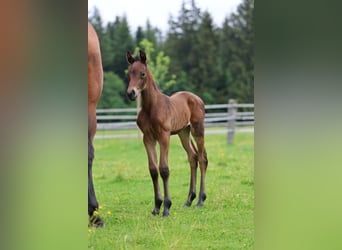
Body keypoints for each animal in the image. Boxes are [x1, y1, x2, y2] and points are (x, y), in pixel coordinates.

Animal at [125, 49, 207, 216]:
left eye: (142, 73)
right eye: (129, 74)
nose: (131, 93)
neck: (151, 107)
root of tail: (197, 98)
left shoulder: (164, 136)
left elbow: (164, 169)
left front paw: (167, 207)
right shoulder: (148, 138)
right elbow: (153, 170)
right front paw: (157, 206)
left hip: (197, 129)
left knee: (202, 159)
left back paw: (201, 200)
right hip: (184, 132)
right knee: (193, 157)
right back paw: (189, 200)